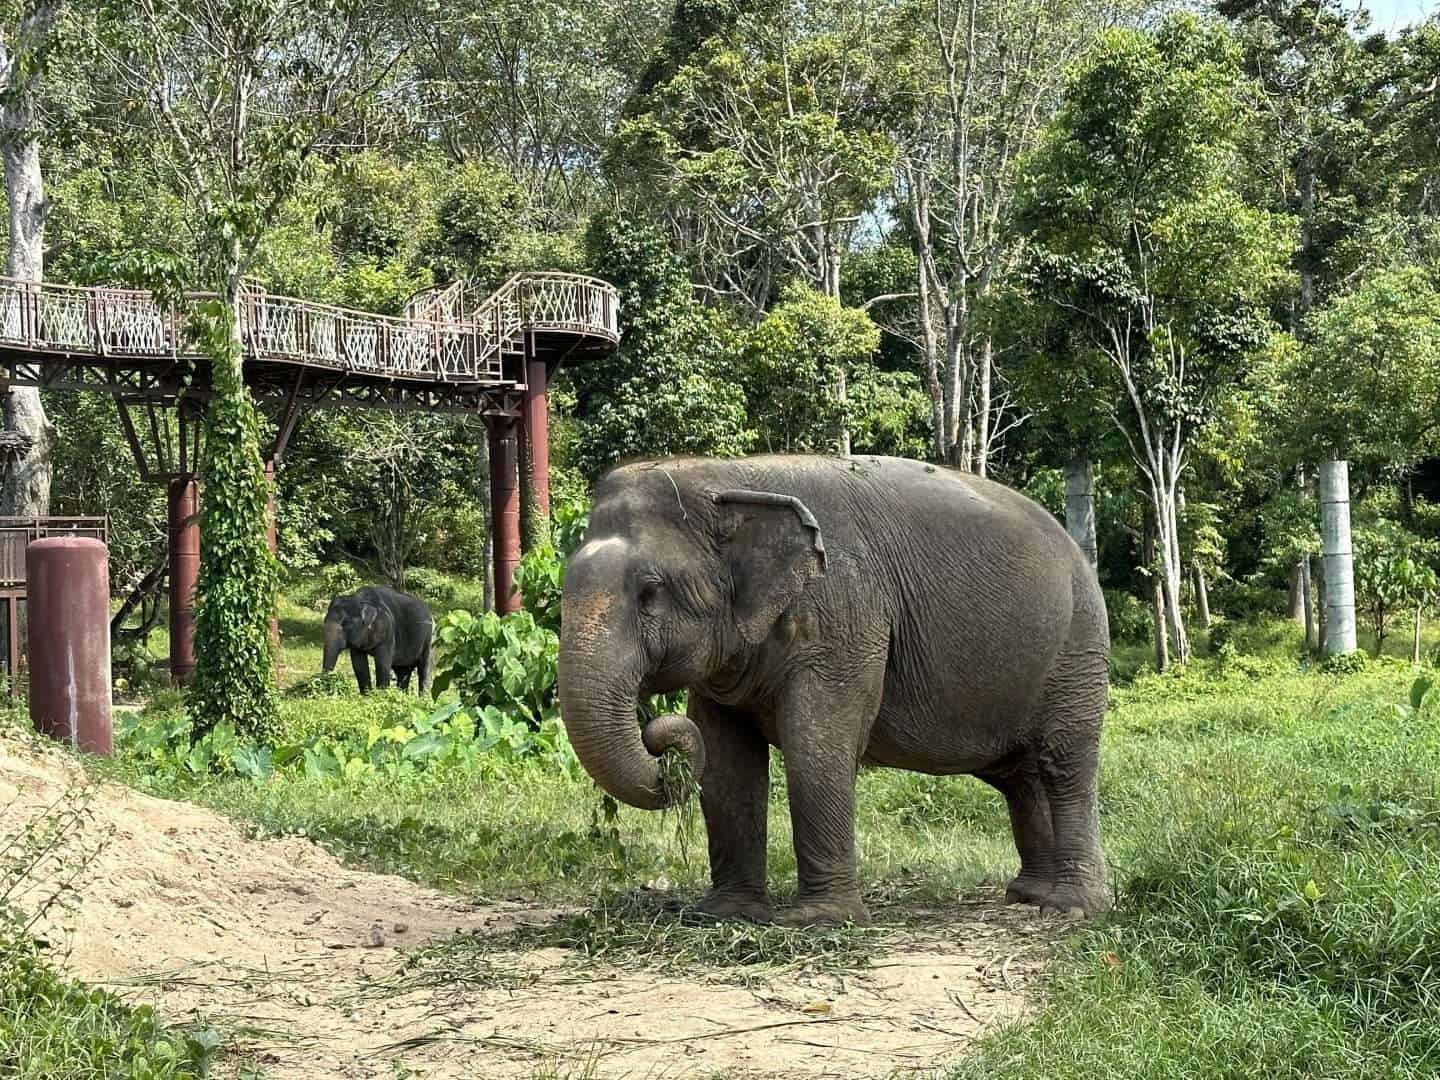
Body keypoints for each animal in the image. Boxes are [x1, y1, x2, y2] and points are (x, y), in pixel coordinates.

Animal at [558, 455, 1110, 927]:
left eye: (650, 592)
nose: (660, 736)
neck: (725, 477)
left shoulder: (845, 610)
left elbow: (816, 744)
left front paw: (819, 922)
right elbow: (726, 760)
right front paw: (723, 914)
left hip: (1079, 649)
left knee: (1065, 765)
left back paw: (1069, 909)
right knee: (1020, 777)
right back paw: (1027, 895)